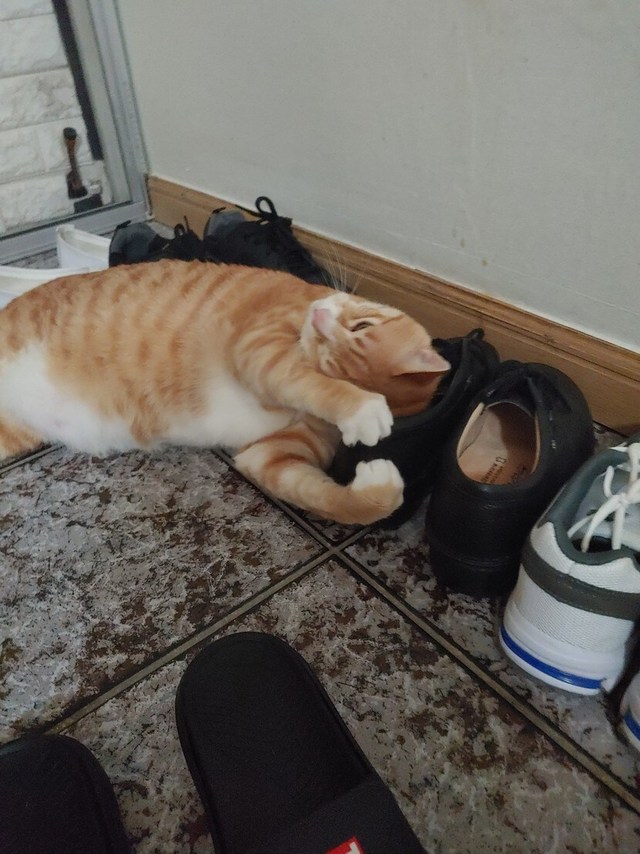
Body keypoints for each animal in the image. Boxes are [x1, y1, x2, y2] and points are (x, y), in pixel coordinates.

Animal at [0, 260, 449, 524]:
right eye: (362, 327)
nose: (319, 318)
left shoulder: (271, 454)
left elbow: (335, 502)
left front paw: (377, 489)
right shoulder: (259, 346)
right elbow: (310, 385)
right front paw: (360, 407)